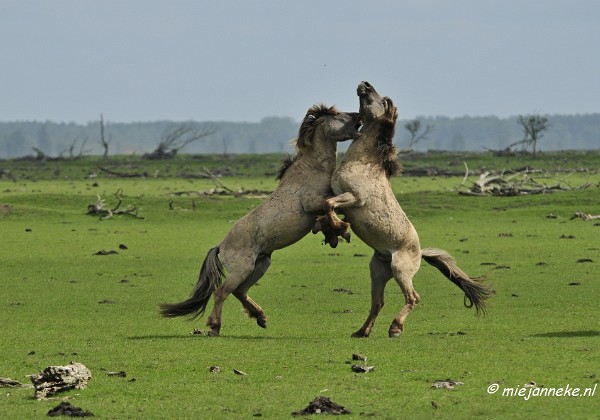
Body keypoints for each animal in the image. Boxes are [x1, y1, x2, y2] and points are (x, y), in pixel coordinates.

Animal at [159, 106, 360, 338]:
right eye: (337, 115)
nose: (359, 116)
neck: (311, 171)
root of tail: (220, 247)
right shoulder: (312, 203)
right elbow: (330, 205)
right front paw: (341, 230)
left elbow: (332, 210)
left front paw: (333, 233)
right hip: (242, 269)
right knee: (222, 292)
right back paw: (215, 327)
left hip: (261, 264)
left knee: (239, 291)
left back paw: (261, 317)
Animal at [316, 82, 490, 338]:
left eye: (384, 100)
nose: (364, 84)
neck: (364, 163)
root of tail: (419, 253)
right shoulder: (342, 198)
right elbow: (326, 205)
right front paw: (329, 228)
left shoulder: (354, 198)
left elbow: (330, 205)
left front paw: (340, 229)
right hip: (378, 271)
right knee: (378, 302)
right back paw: (362, 331)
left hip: (400, 269)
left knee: (413, 298)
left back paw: (395, 328)